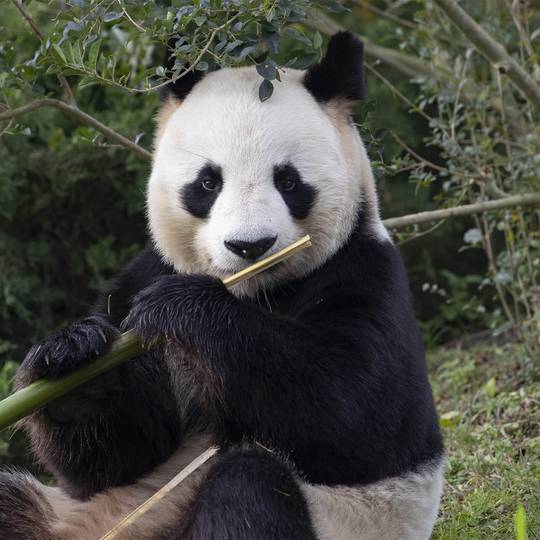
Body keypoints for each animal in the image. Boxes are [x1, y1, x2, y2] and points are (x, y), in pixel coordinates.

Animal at [0, 31, 442, 536]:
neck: (253, 291)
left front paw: (185, 307)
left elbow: (359, 416)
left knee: (250, 485)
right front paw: (69, 355)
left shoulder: (365, 273)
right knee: (14, 501)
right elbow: (111, 459)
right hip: (74, 516)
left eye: (289, 181)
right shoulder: (143, 275)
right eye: (208, 182)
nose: (250, 246)